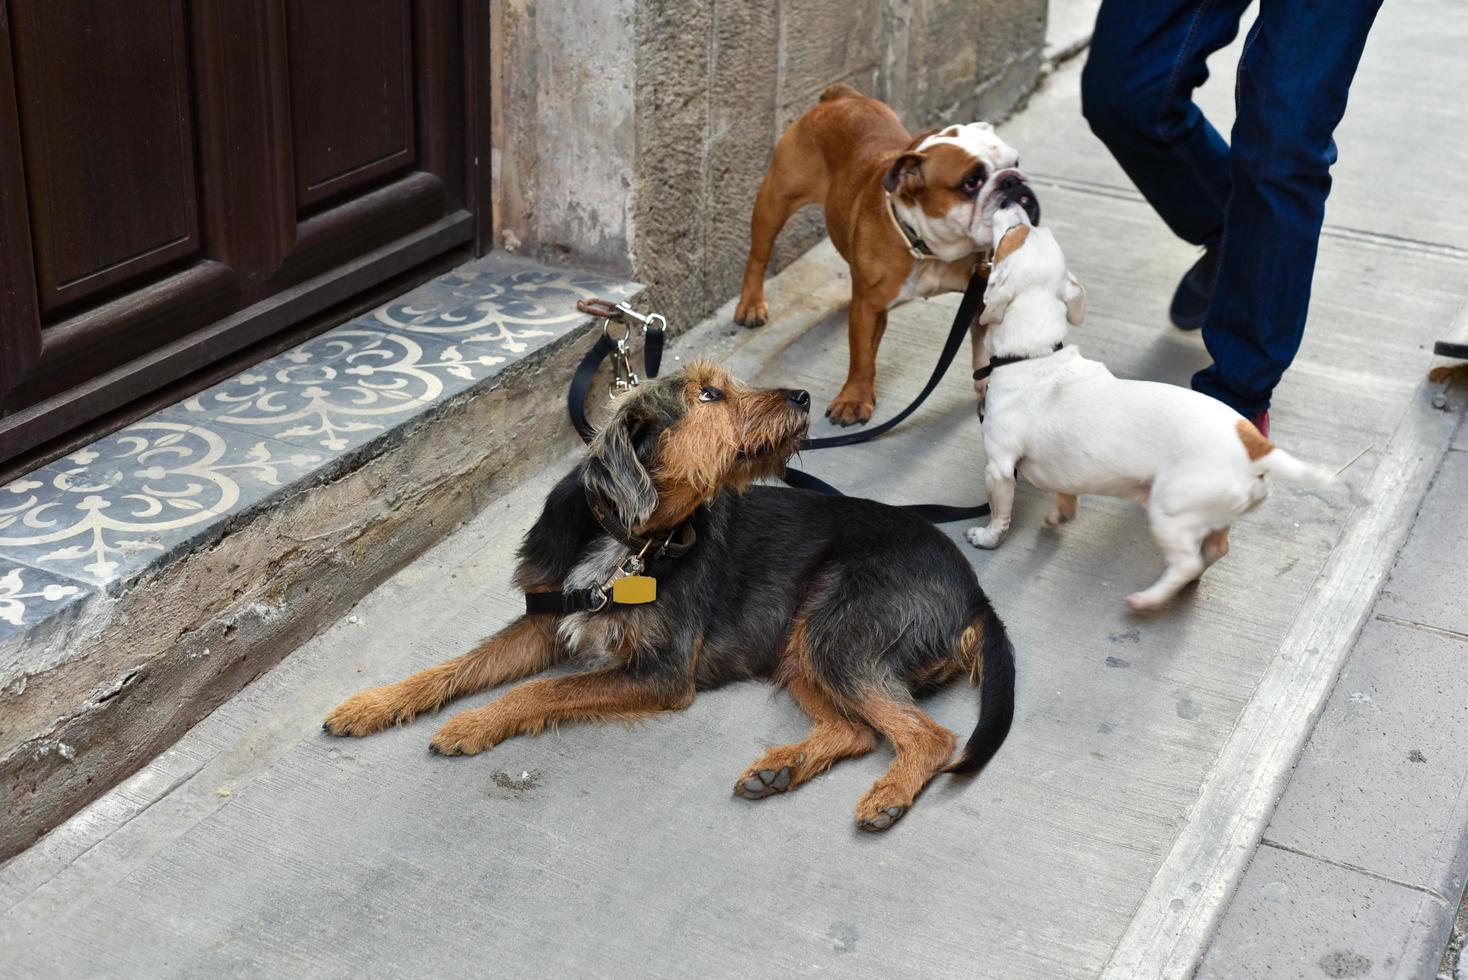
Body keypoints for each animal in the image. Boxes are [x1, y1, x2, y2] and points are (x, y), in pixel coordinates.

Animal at [322, 363, 1015, 833]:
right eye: (709, 394)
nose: (803, 397)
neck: (631, 539)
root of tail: (976, 593)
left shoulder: (659, 671)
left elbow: (540, 692)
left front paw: (472, 723)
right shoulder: (544, 620)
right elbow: (457, 666)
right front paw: (374, 704)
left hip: (838, 633)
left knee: (931, 737)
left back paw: (887, 795)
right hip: (803, 649)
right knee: (858, 732)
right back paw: (781, 769)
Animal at [731, 89, 1033, 428]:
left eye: (1015, 162)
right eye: (971, 182)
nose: (1014, 180)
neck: (928, 247)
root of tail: (841, 95)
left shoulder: (978, 298)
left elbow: (982, 347)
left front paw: (987, 387)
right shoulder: (869, 306)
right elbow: (861, 356)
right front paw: (854, 399)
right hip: (775, 201)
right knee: (758, 255)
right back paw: (751, 305)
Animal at [963, 209, 1332, 607]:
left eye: (1014, 234)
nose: (1016, 204)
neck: (1034, 355)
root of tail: (1254, 444)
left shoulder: (999, 468)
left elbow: (1000, 512)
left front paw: (987, 538)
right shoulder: (1065, 473)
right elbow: (1066, 493)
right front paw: (1061, 515)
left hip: (1170, 512)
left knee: (1186, 562)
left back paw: (1149, 598)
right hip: (1214, 516)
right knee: (1216, 549)